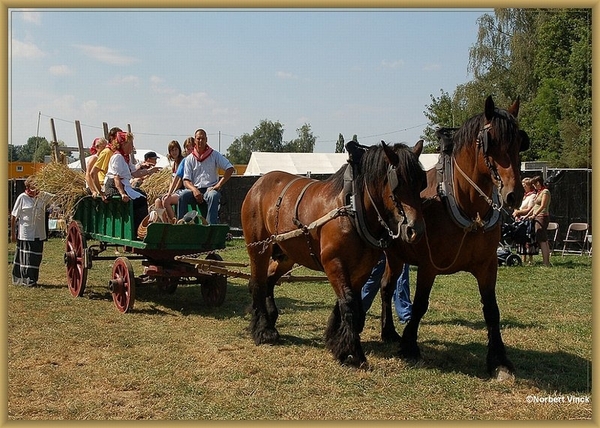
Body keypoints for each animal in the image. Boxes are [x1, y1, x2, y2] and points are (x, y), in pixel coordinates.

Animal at [241, 141, 428, 368]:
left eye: (421, 183)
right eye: (397, 184)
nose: (415, 230)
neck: (353, 208)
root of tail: (258, 183)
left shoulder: (362, 268)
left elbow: (349, 301)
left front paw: (335, 340)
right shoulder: (333, 262)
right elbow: (348, 302)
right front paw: (352, 352)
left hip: (286, 255)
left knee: (268, 280)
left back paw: (270, 319)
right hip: (258, 247)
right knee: (257, 283)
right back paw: (263, 329)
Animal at [382, 95, 528, 380]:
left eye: (519, 142)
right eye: (491, 141)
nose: (513, 194)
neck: (465, 204)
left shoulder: (488, 266)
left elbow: (492, 310)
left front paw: (499, 360)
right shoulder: (428, 266)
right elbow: (420, 304)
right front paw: (410, 346)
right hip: (392, 257)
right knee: (385, 288)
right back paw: (390, 332)